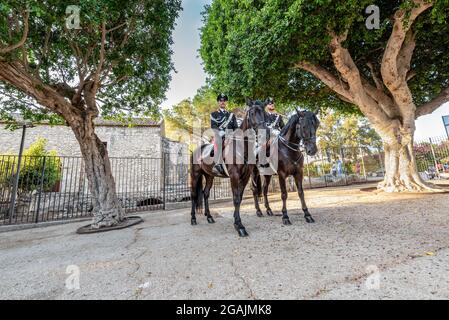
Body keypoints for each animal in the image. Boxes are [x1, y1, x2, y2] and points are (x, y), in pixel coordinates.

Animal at [188, 101, 266, 236]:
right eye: (252, 113)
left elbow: (239, 198)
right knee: (193, 195)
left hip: (209, 176)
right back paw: (193, 219)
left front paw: (236, 221)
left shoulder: (245, 177)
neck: (242, 147)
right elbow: (236, 199)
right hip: (195, 175)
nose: (262, 132)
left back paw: (209, 217)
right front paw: (239, 226)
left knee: (205, 193)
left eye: (264, 112)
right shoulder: (234, 176)